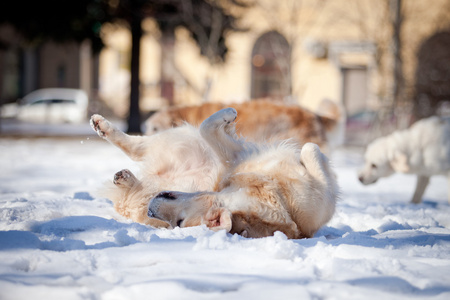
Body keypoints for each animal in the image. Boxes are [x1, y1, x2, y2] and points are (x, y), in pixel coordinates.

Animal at [90, 109, 338, 238]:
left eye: (178, 222)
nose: (152, 210)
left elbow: (309, 149)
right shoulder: (236, 158)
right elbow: (310, 148)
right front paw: (229, 114)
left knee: (137, 151)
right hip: (182, 142)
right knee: (136, 147)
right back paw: (103, 128)